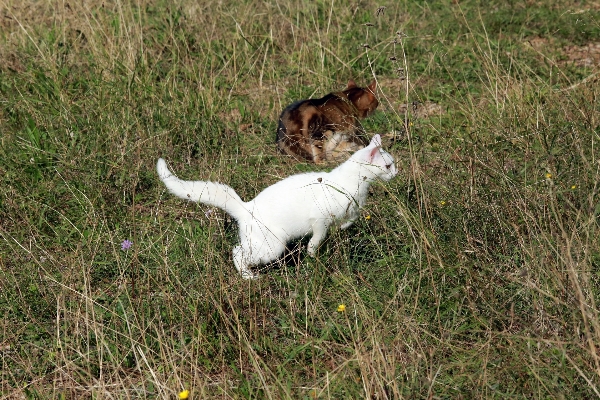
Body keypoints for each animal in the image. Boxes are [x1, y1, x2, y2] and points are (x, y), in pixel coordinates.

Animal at [157, 134, 396, 278]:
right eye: (388, 165)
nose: (396, 172)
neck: (354, 185)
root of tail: (246, 207)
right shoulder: (319, 219)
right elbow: (317, 238)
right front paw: (312, 253)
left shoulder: (352, 212)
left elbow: (350, 220)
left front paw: (341, 229)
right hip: (272, 246)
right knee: (237, 252)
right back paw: (248, 276)